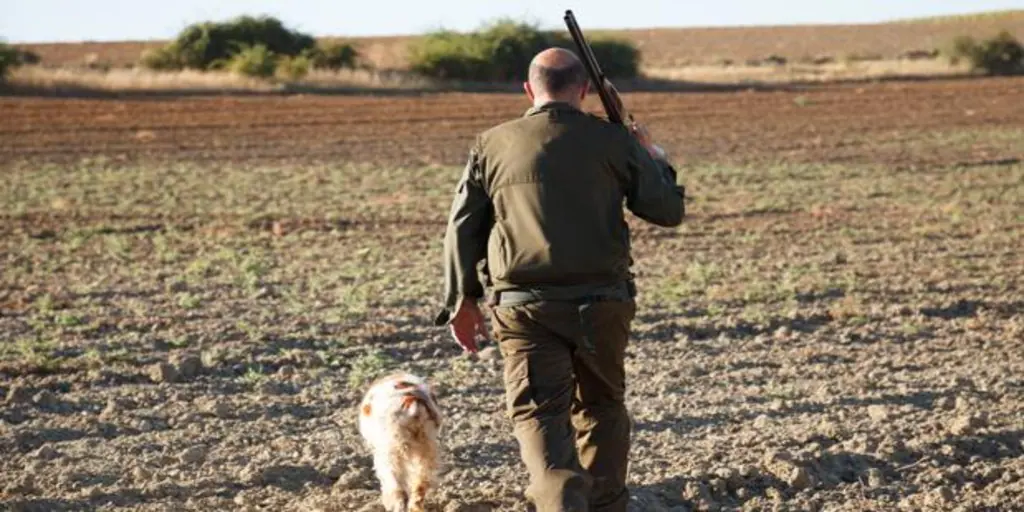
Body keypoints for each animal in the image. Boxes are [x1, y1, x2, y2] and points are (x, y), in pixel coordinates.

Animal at [358, 372, 442, 512]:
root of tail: (413, 404)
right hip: (427, 449)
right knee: (420, 484)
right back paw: (416, 507)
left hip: (391, 451)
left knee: (398, 489)